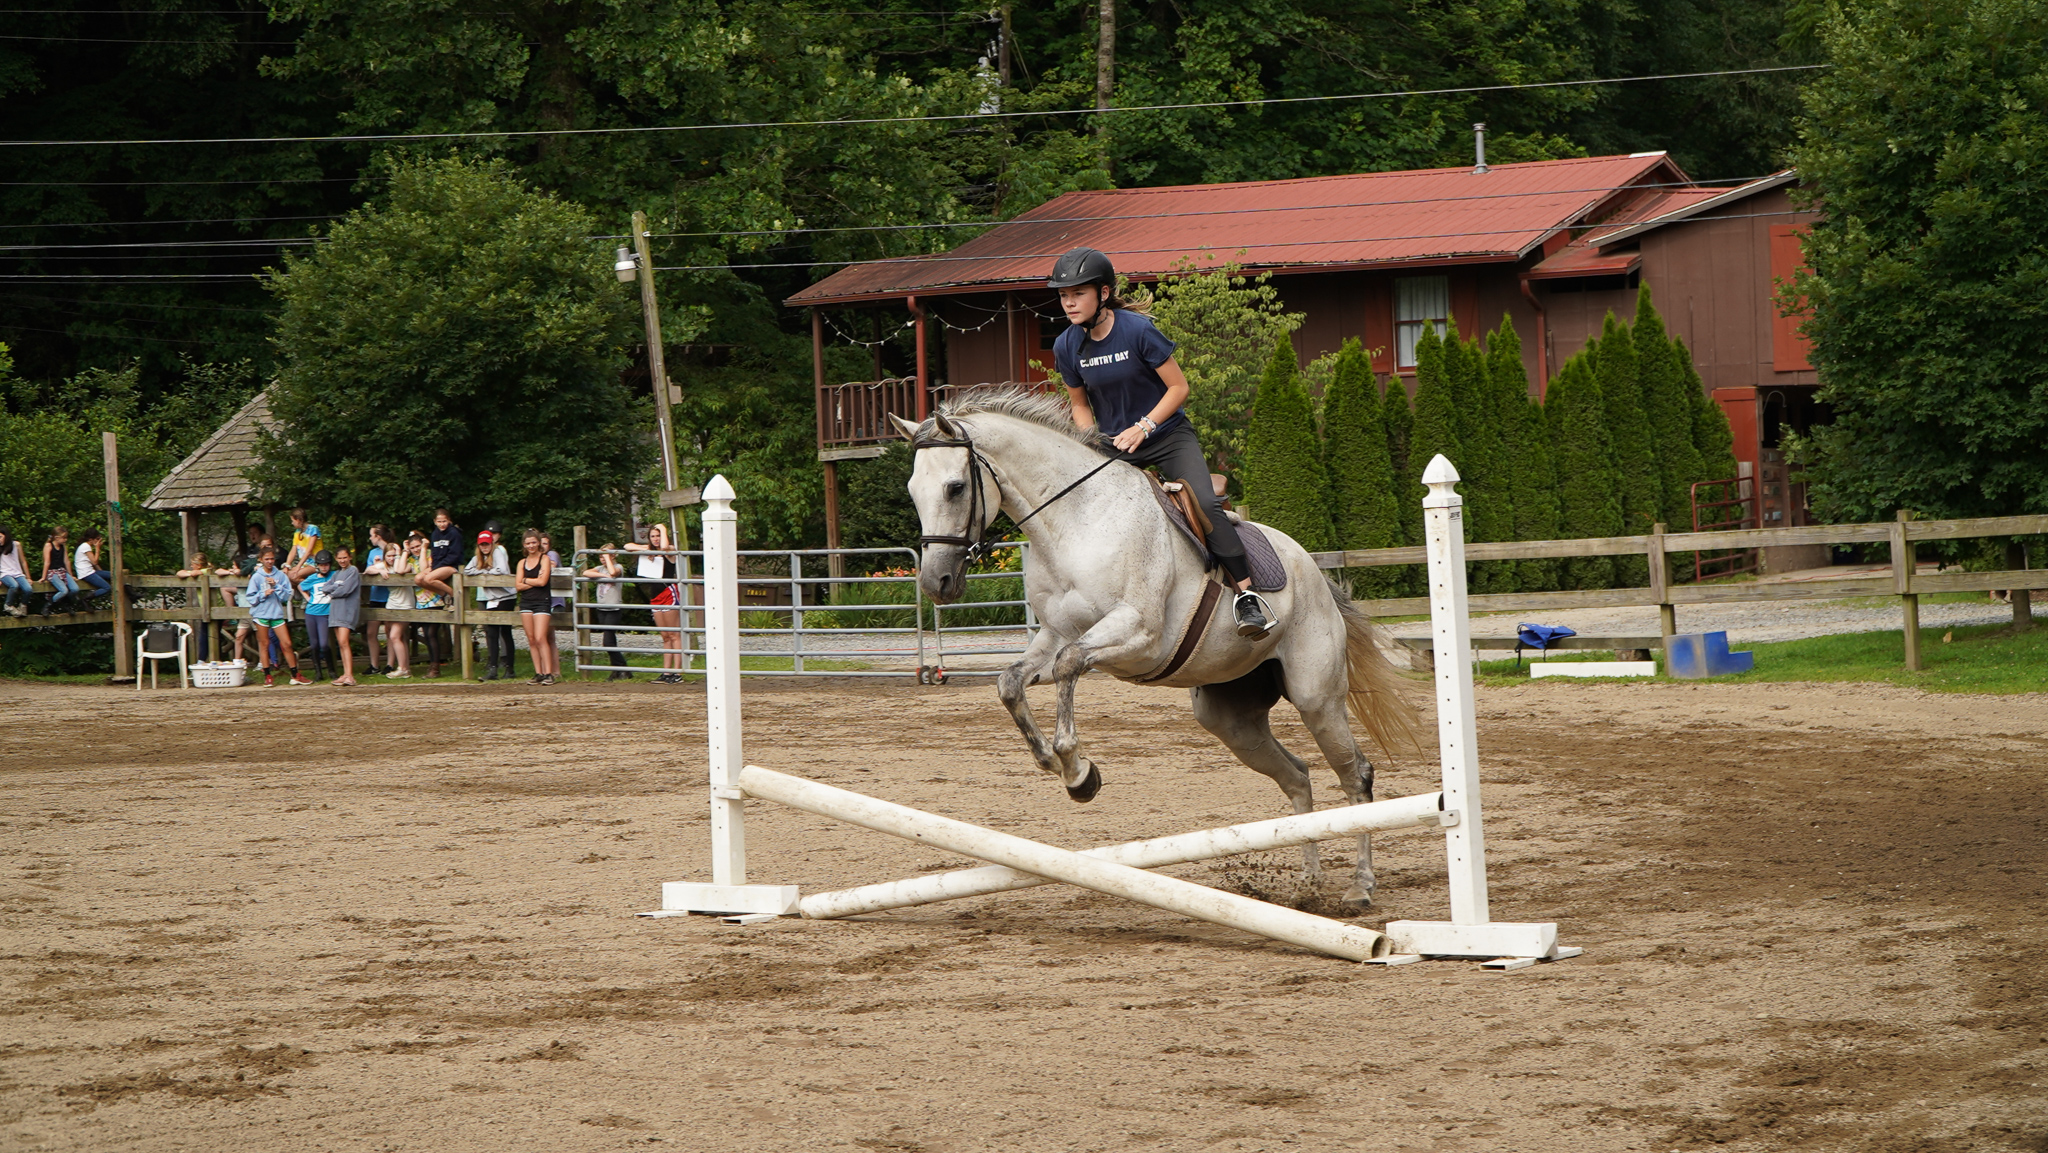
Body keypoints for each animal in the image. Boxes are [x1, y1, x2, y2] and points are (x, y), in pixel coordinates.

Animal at [890, 388, 1420, 904]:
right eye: (912, 491)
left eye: (955, 488)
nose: (936, 584)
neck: (1074, 522)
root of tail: (1314, 570)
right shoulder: (1055, 633)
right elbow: (1010, 682)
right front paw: (1053, 762)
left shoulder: (1138, 634)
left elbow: (1068, 666)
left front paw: (1077, 772)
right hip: (1231, 720)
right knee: (1297, 775)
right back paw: (1309, 886)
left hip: (1317, 698)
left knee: (1355, 776)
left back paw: (1360, 886)